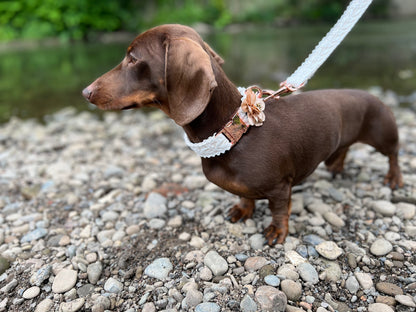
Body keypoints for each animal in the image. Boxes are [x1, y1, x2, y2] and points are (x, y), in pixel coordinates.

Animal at [82, 24, 404, 245]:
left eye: (133, 59)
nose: (85, 92)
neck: (235, 132)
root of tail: (374, 95)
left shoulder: (280, 187)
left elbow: (279, 209)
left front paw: (276, 231)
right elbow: (245, 197)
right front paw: (241, 209)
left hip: (382, 133)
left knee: (393, 154)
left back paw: (394, 179)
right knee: (344, 148)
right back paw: (336, 166)